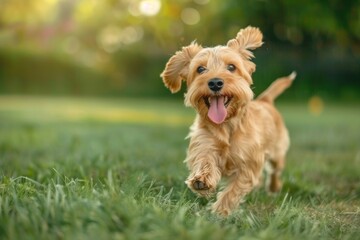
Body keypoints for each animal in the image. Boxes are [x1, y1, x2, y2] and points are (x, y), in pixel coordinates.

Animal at [160, 25, 296, 216]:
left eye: (231, 67)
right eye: (200, 69)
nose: (215, 82)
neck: (226, 125)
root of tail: (265, 100)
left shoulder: (248, 163)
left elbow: (234, 190)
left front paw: (220, 212)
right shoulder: (204, 143)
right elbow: (205, 159)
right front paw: (202, 180)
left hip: (278, 150)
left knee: (275, 170)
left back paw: (273, 187)